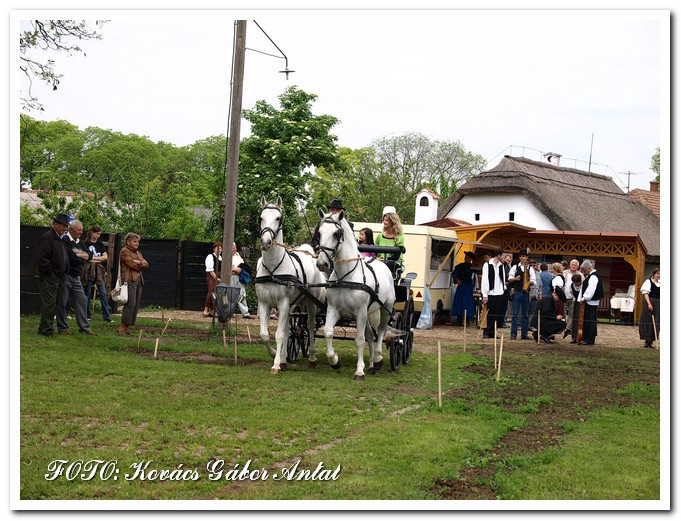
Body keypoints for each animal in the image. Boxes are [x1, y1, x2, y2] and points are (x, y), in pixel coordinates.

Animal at [256, 196, 328, 374]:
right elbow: (265, 334)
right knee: (290, 328)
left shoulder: (282, 303)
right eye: (261, 218)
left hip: (310, 302)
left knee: (310, 326)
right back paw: (284, 359)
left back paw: (312, 358)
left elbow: (279, 334)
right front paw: (275, 354)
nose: (266, 241)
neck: (273, 270)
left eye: (278, 218)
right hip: (292, 306)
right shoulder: (264, 303)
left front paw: (275, 365)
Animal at [314, 209, 394, 380]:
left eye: (336, 233)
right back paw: (371, 365)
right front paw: (335, 361)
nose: (322, 264)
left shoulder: (360, 311)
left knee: (381, 331)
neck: (346, 276)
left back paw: (378, 359)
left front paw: (359, 370)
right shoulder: (334, 309)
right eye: (320, 231)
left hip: (385, 308)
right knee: (370, 335)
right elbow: (328, 332)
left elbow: (359, 340)